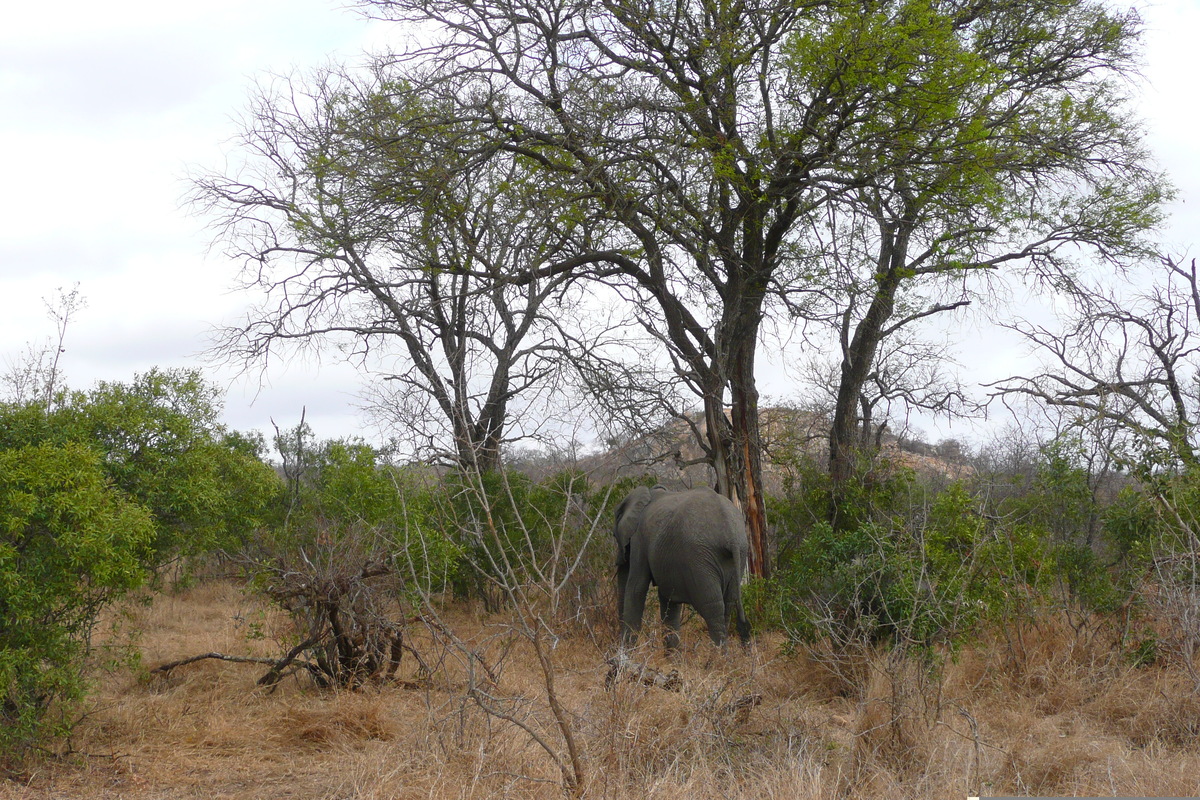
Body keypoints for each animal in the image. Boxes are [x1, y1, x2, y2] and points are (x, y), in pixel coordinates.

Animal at [609, 484, 748, 647]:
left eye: (614, 535)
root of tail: (731, 535)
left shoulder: (639, 538)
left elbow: (637, 588)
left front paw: (625, 652)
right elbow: (669, 599)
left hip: (700, 559)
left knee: (713, 608)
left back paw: (718, 653)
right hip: (738, 556)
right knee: (727, 605)